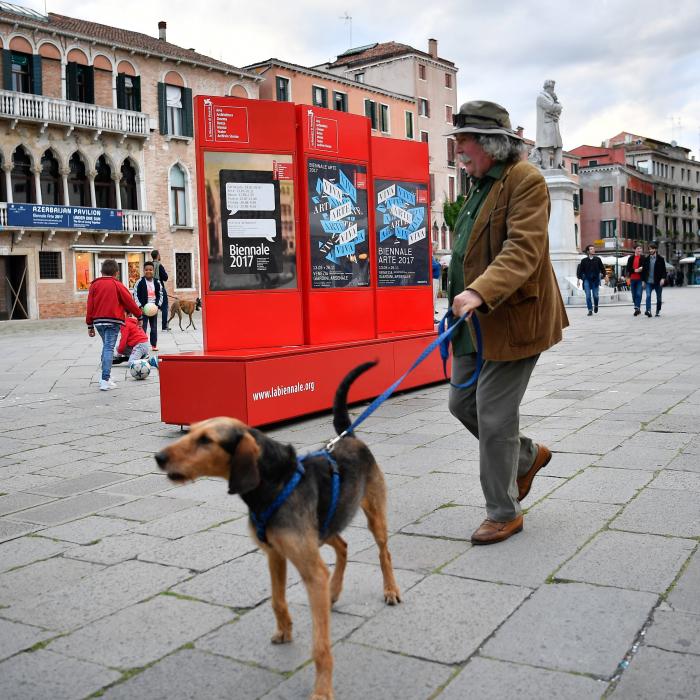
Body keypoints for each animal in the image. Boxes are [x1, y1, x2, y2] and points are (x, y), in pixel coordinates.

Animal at [157, 360, 402, 700]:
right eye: (190, 431)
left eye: (207, 440)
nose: (159, 457)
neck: (273, 484)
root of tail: (349, 436)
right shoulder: (276, 554)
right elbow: (277, 600)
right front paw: (285, 631)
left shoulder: (310, 570)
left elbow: (321, 646)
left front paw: (322, 690)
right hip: (323, 530)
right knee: (343, 547)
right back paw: (334, 591)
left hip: (373, 516)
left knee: (384, 553)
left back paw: (390, 590)